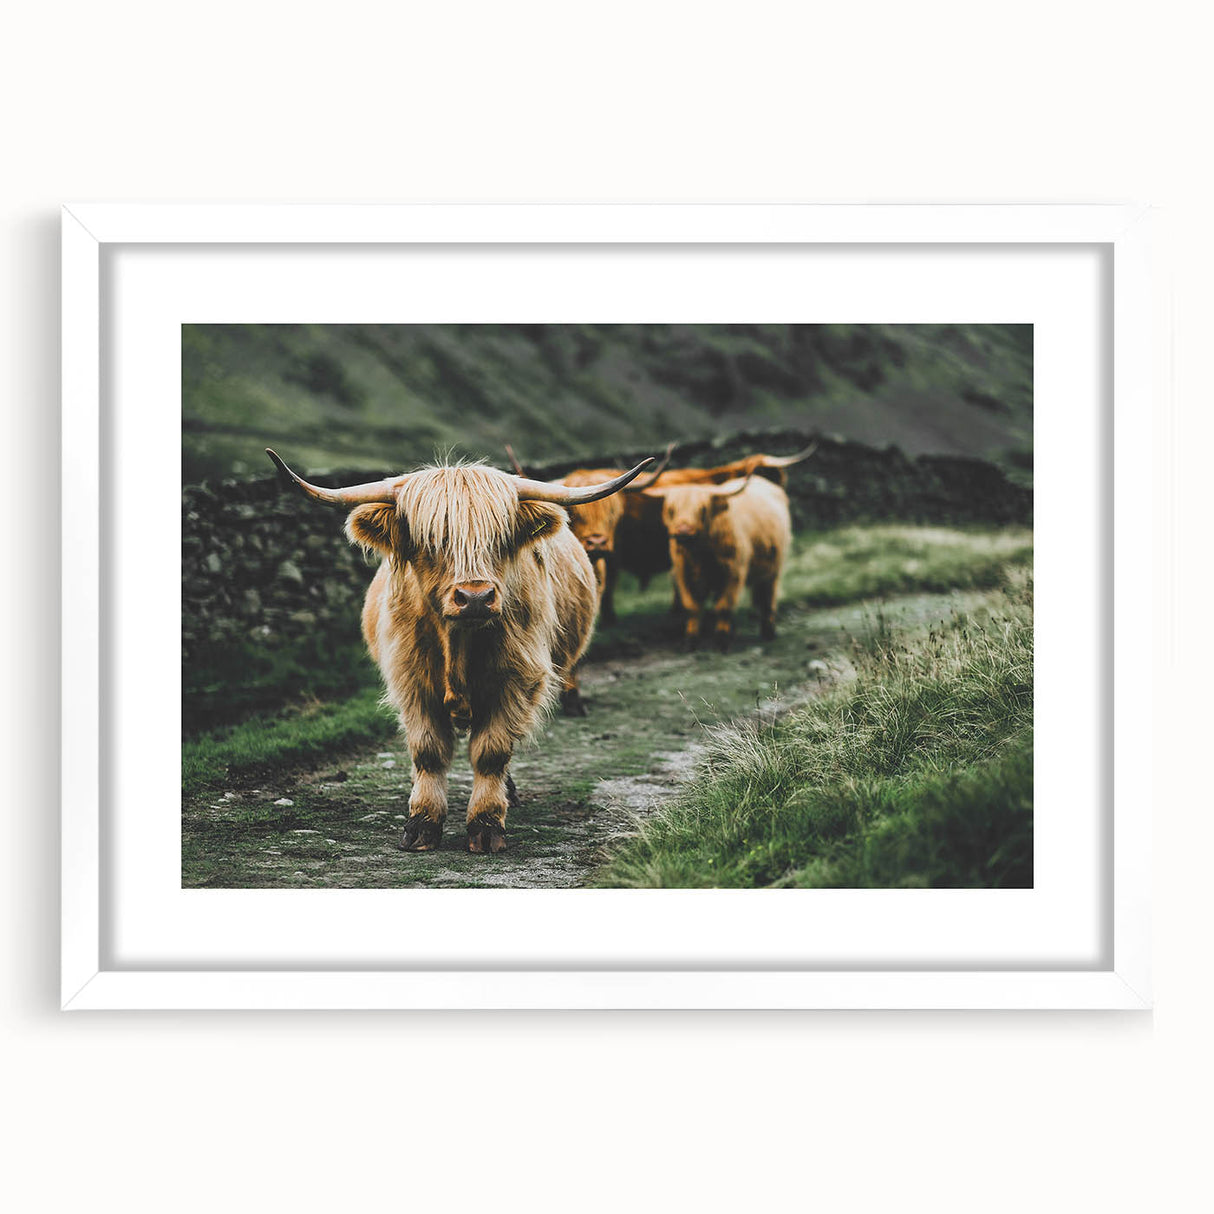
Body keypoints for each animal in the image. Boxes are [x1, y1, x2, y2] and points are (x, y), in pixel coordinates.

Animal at [265, 448, 654, 854]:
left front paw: (485, 824)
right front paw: (421, 823)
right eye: (431, 539)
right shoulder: (411, 682)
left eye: (500, 538)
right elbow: (428, 751)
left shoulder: (516, 681)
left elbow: (492, 752)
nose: (476, 597)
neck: (458, 644)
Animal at [641, 471, 792, 651]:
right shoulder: (683, 573)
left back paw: (768, 631)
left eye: (702, 509)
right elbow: (692, 607)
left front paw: (722, 641)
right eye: (671, 509)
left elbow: (724, 606)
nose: (683, 530)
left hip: (774, 567)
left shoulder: (734, 572)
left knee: (768, 597)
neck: (700, 553)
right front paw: (691, 640)